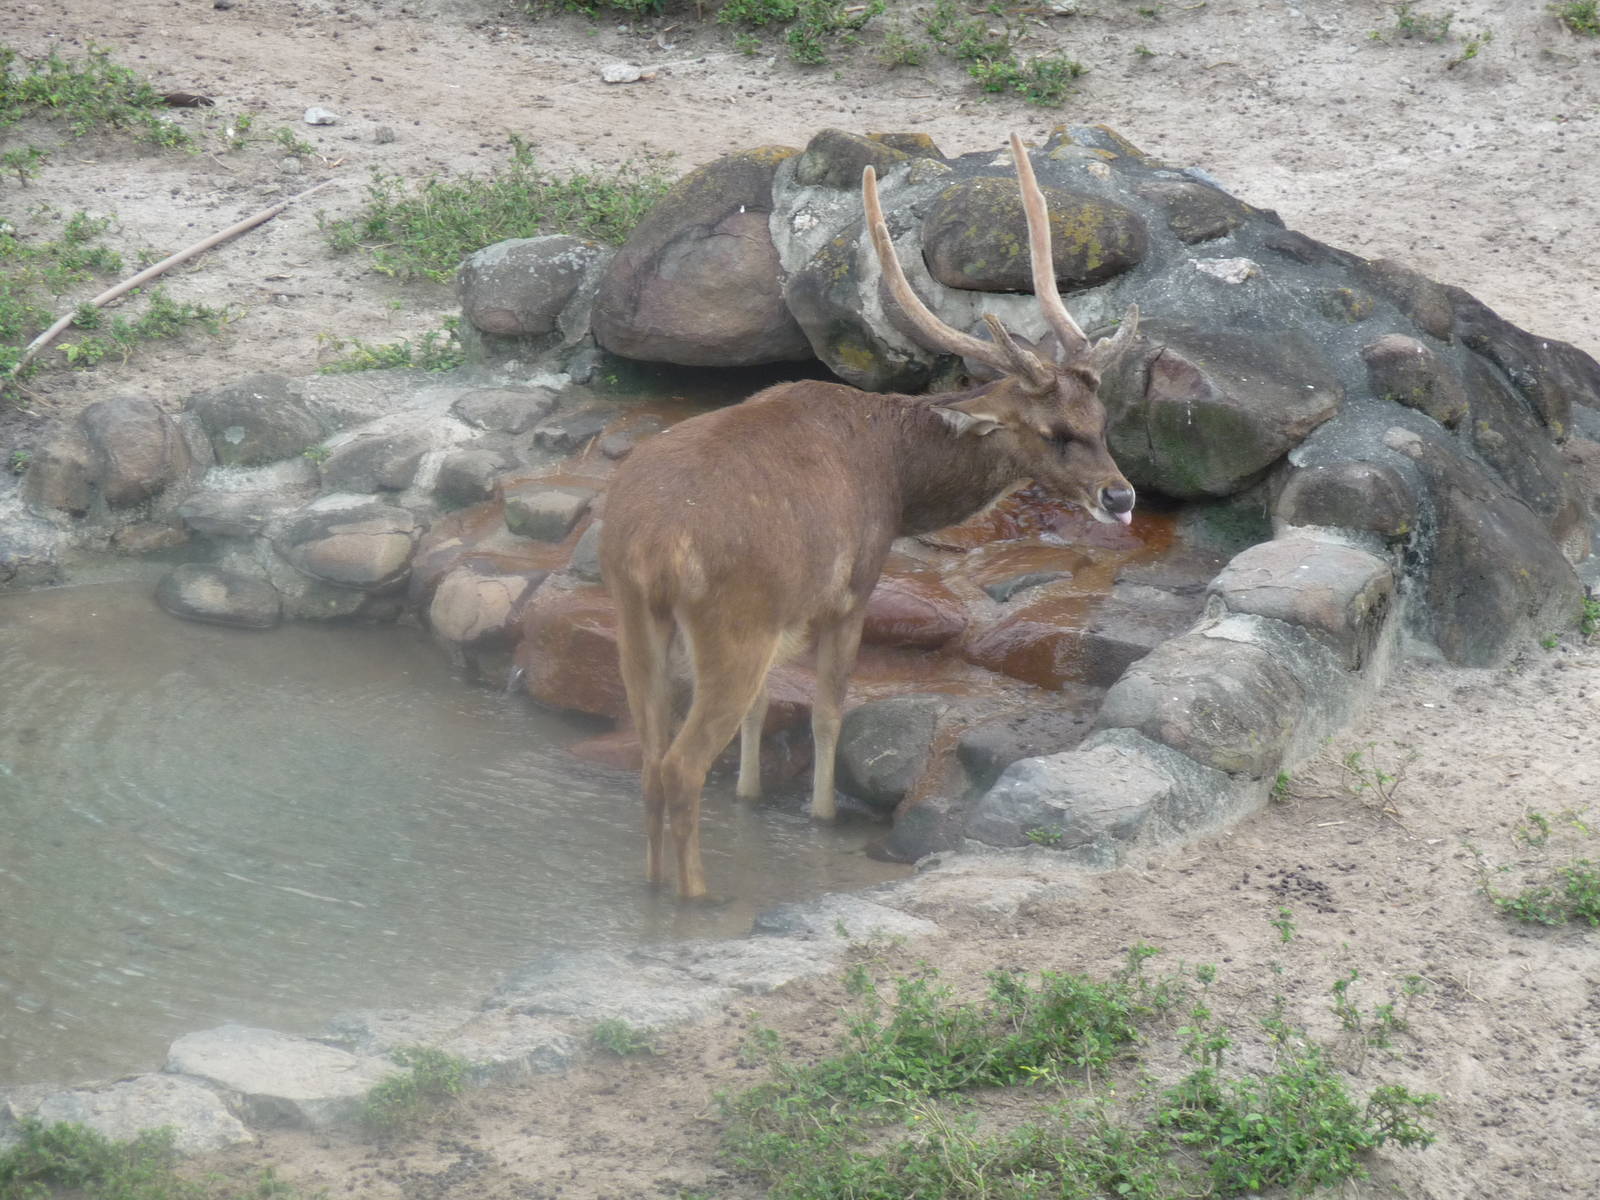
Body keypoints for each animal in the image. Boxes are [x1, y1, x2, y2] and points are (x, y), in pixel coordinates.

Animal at [598, 132, 1140, 898]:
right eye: (1052, 432)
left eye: (1101, 419)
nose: (1121, 497)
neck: (896, 479)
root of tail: (651, 546)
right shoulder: (852, 588)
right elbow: (829, 711)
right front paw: (822, 815)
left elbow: (764, 711)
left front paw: (753, 796)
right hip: (730, 621)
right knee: (679, 765)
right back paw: (699, 896)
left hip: (635, 618)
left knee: (651, 758)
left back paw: (653, 884)